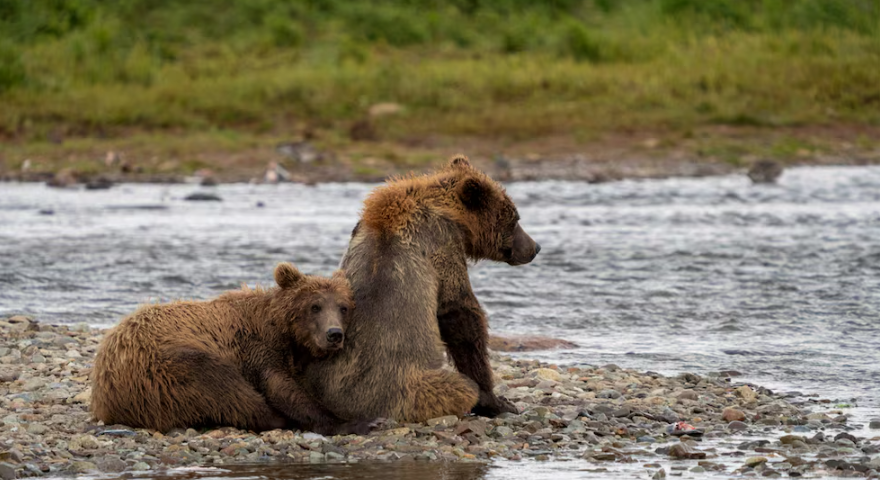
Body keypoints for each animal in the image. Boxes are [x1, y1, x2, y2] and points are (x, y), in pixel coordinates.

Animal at [90, 263, 363, 435]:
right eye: (315, 306)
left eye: (343, 307)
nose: (334, 334)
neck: (283, 330)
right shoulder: (255, 345)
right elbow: (279, 385)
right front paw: (345, 422)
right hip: (163, 367)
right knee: (226, 388)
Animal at [303, 154, 540, 422]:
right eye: (515, 219)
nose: (535, 247)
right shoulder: (441, 248)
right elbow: (460, 314)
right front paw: (498, 401)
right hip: (407, 388)